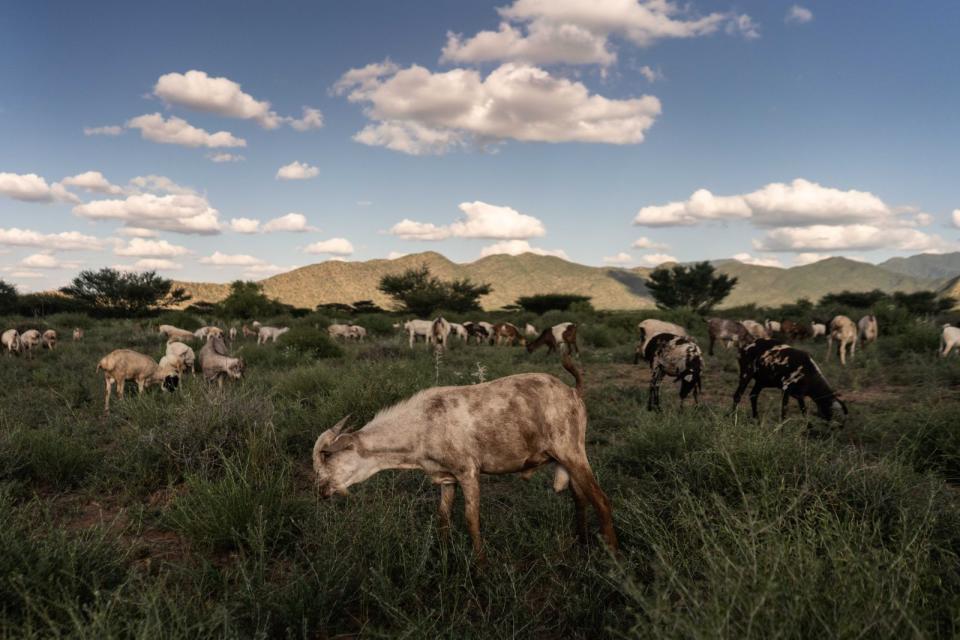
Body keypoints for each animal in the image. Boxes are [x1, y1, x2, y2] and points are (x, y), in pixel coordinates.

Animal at [312, 352, 620, 556]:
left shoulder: (468, 473)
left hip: (572, 452)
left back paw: (612, 555)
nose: (322, 491)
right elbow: (443, 518)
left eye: (327, 456)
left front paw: (479, 568)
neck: (423, 423)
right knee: (580, 499)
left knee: (601, 500)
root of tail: (572, 391)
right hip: (564, 460)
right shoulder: (447, 479)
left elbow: (472, 520)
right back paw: (582, 543)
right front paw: (443, 556)